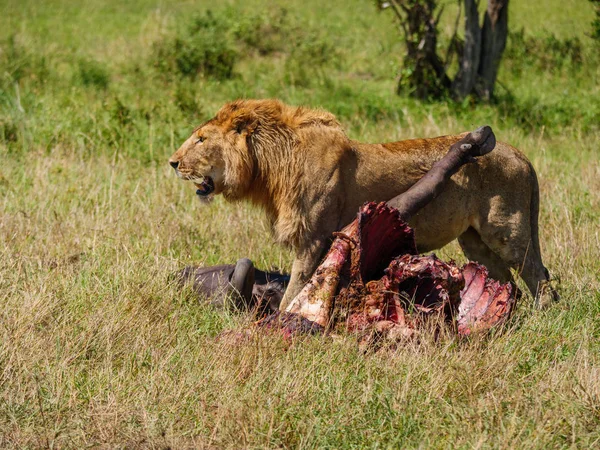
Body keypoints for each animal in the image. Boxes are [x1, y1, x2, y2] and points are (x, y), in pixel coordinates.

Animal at [169, 98, 556, 310]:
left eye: (201, 139)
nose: (172, 162)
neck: (271, 168)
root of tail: (521, 156)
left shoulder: (313, 238)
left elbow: (297, 285)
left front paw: (287, 315)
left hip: (507, 232)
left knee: (538, 276)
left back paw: (542, 317)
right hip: (475, 241)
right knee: (506, 280)